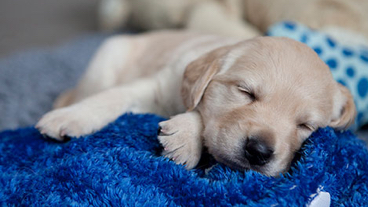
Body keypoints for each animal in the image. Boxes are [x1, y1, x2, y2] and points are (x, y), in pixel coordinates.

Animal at [36, 30, 356, 176]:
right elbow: (111, 98)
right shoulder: (156, 84)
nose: (259, 151)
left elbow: (199, 113)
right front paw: (66, 118)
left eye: (306, 126)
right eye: (245, 92)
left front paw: (185, 137)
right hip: (105, 61)